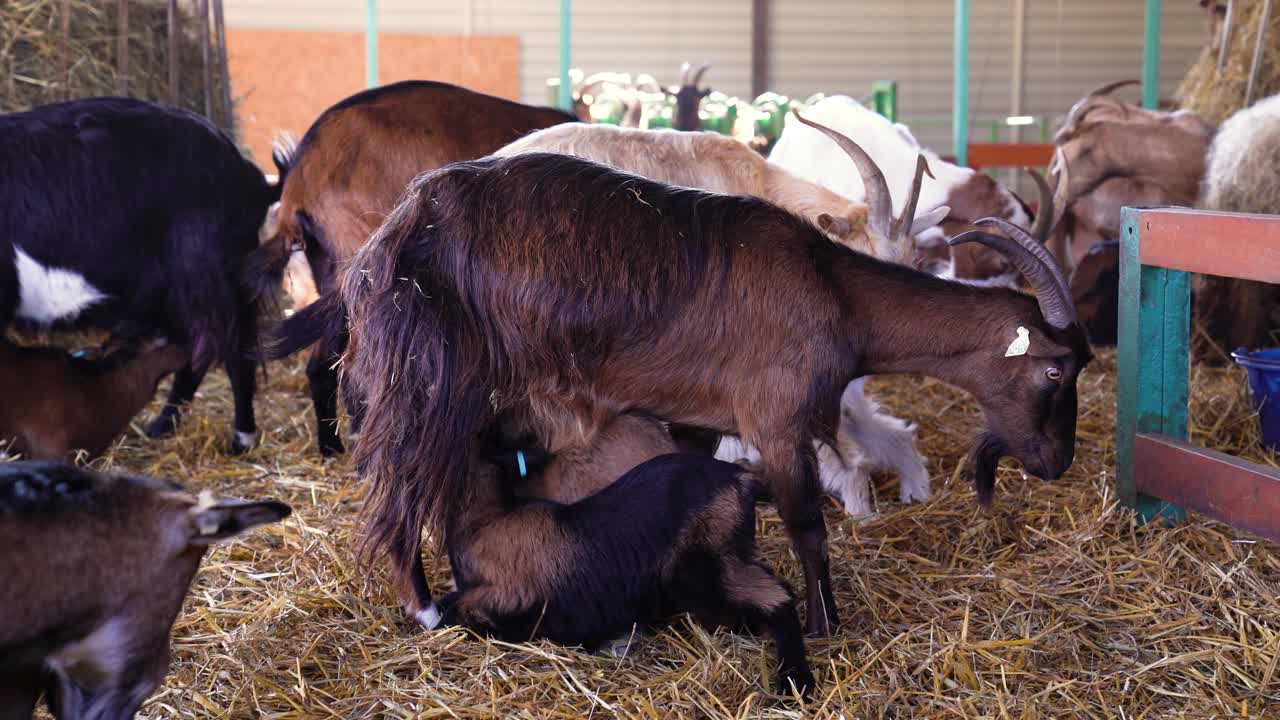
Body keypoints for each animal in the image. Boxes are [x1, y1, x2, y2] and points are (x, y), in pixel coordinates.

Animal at [336, 135, 1091, 637]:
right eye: (1056, 368)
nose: (1057, 462)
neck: (835, 291)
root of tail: (398, 228)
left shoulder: (698, 418)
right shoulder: (777, 423)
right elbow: (809, 529)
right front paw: (824, 625)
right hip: (432, 379)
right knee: (403, 485)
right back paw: (425, 607)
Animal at [438, 439, 813, 697]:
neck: (487, 519)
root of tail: (739, 477)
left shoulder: (505, 596)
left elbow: (459, 611)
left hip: (702, 574)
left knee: (777, 597)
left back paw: (795, 683)